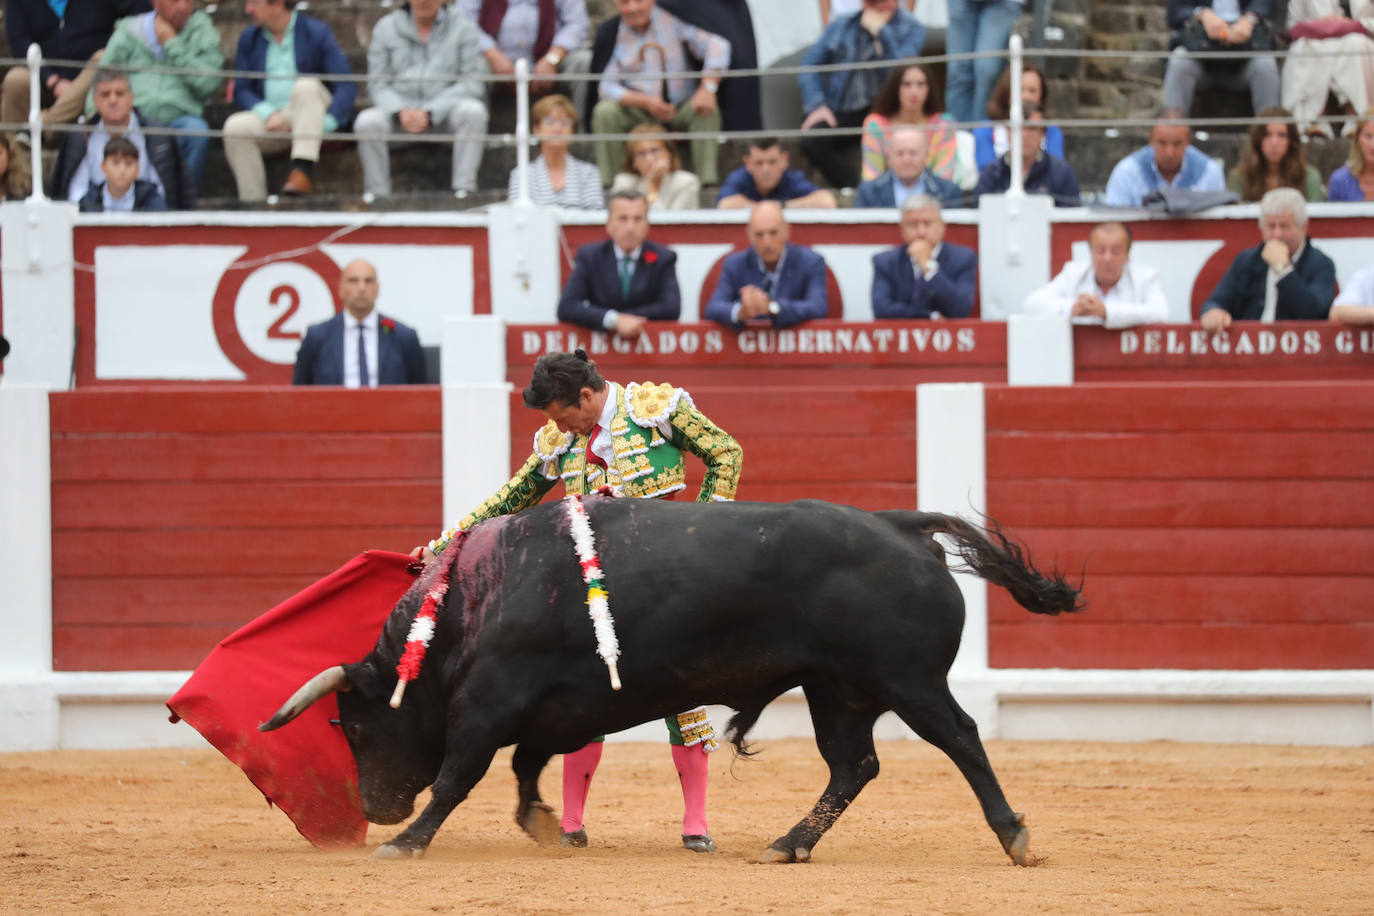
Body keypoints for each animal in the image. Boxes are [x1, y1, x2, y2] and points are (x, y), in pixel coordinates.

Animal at [259, 497, 1082, 862]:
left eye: (354, 724)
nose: (376, 808)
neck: (474, 599)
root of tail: (901, 526)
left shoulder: (489, 706)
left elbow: (462, 775)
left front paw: (410, 842)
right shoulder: (554, 709)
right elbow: (529, 767)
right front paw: (544, 826)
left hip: (908, 681)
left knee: (962, 738)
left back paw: (1015, 836)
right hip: (836, 691)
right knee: (854, 765)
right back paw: (788, 844)